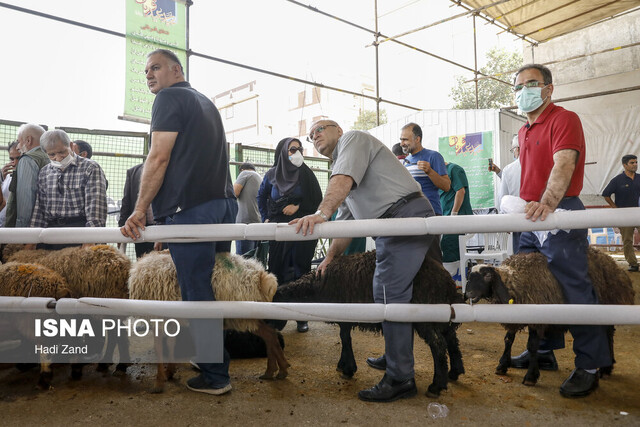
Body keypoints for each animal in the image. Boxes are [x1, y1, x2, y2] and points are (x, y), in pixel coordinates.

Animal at [127, 251, 288, 394]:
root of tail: (261, 276)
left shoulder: (158, 318)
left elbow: (159, 348)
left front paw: (159, 383)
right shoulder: (171, 320)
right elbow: (171, 344)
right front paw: (169, 373)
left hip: (243, 315)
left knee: (269, 335)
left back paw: (275, 369)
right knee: (271, 334)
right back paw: (278, 369)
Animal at [276, 249, 464, 400]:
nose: (275, 330)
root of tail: (447, 281)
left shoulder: (344, 312)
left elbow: (345, 338)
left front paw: (348, 368)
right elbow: (344, 337)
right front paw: (343, 365)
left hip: (425, 314)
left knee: (438, 345)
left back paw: (436, 386)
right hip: (441, 315)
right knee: (451, 339)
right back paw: (454, 372)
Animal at [464, 247, 636, 388]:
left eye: (487, 275)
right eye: (469, 276)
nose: (468, 294)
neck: (515, 281)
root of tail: (613, 264)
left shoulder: (537, 319)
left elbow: (532, 346)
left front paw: (531, 376)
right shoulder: (515, 315)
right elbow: (508, 340)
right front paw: (502, 365)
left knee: (608, 335)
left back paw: (606, 367)